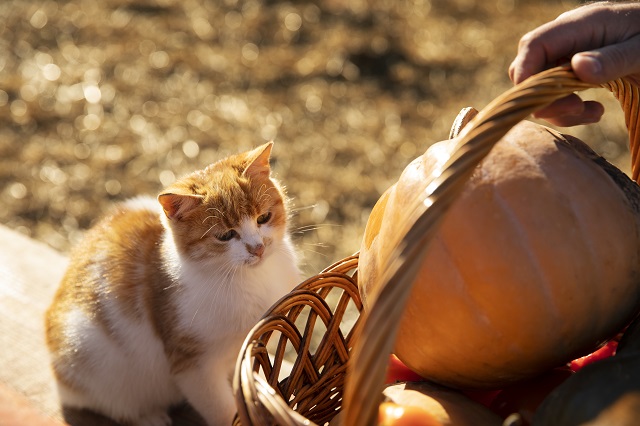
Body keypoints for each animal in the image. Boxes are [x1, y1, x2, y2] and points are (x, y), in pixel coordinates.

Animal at [46, 143, 302, 426]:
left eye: (263, 217)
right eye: (226, 236)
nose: (257, 248)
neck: (247, 278)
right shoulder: (192, 366)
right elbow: (221, 408)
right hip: (93, 362)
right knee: (114, 405)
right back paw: (149, 417)